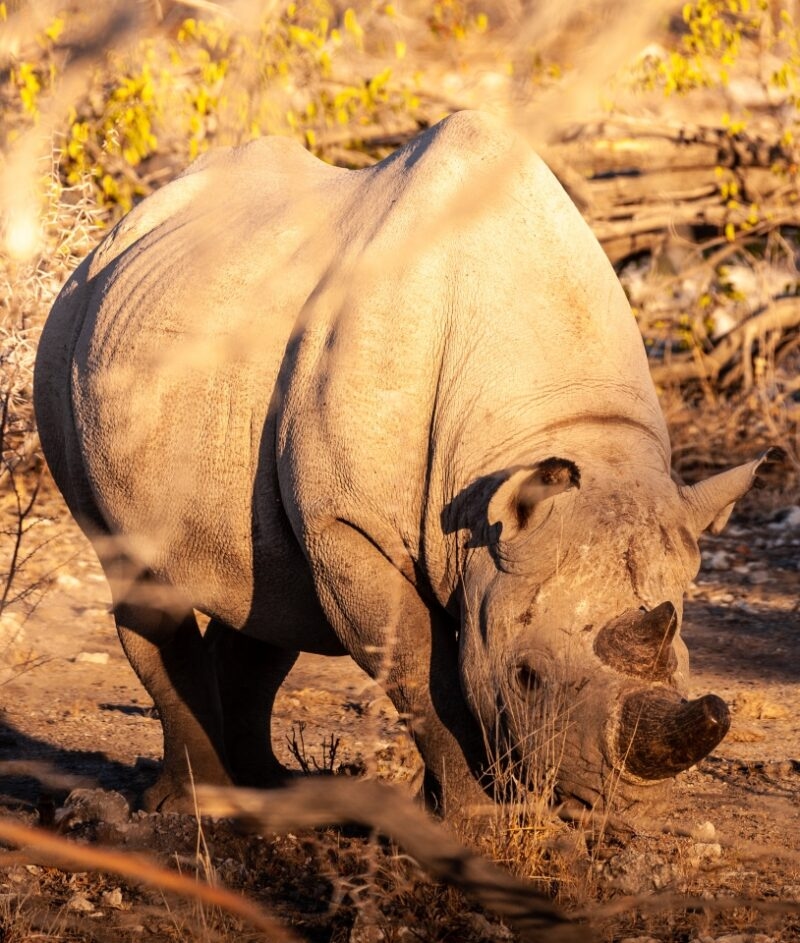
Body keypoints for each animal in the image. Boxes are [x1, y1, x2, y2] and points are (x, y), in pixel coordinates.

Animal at [34, 111, 780, 819]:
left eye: (685, 661)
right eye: (527, 675)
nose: (609, 804)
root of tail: (119, 227)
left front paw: (457, 808)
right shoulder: (351, 521)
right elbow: (423, 668)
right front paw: (479, 818)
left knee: (266, 593)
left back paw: (269, 792)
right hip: (65, 333)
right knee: (139, 571)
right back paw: (196, 806)